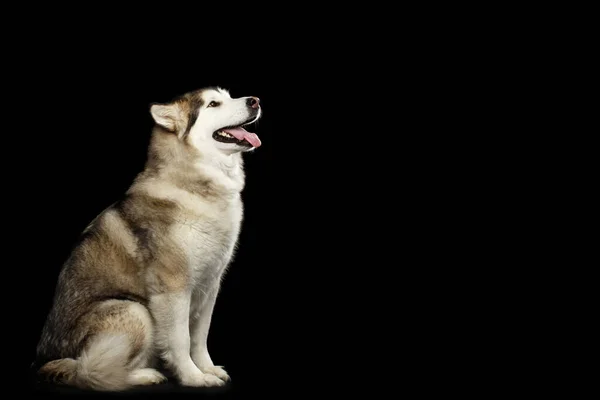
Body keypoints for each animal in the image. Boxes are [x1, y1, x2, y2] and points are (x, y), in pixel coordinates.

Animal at [33, 86, 262, 390]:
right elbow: (181, 339)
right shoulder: (173, 288)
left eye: (228, 96)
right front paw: (193, 377)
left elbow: (200, 338)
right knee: (94, 371)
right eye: (213, 104)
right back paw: (145, 375)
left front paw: (207, 368)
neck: (194, 186)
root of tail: (45, 362)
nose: (255, 101)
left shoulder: (209, 285)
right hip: (135, 311)